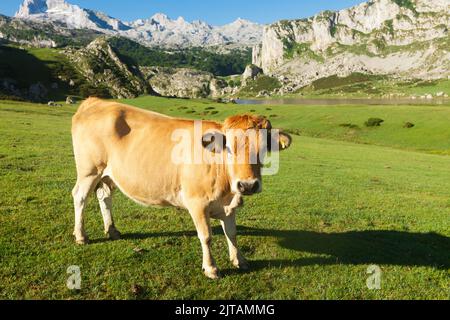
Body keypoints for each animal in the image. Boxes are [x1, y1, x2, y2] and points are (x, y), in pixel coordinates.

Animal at [71, 97, 292, 278]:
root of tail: (96, 101)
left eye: (265, 147)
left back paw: (112, 230)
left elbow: (232, 233)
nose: (247, 185)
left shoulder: (230, 205)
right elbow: (206, 236)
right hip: (89, 170)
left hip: (108, 174)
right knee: (80, 196)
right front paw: (211, 268)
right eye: (229, 147)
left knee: (105, 196)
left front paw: (240, 260)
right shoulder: (197, 202)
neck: (226, 191)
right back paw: (81, 236)